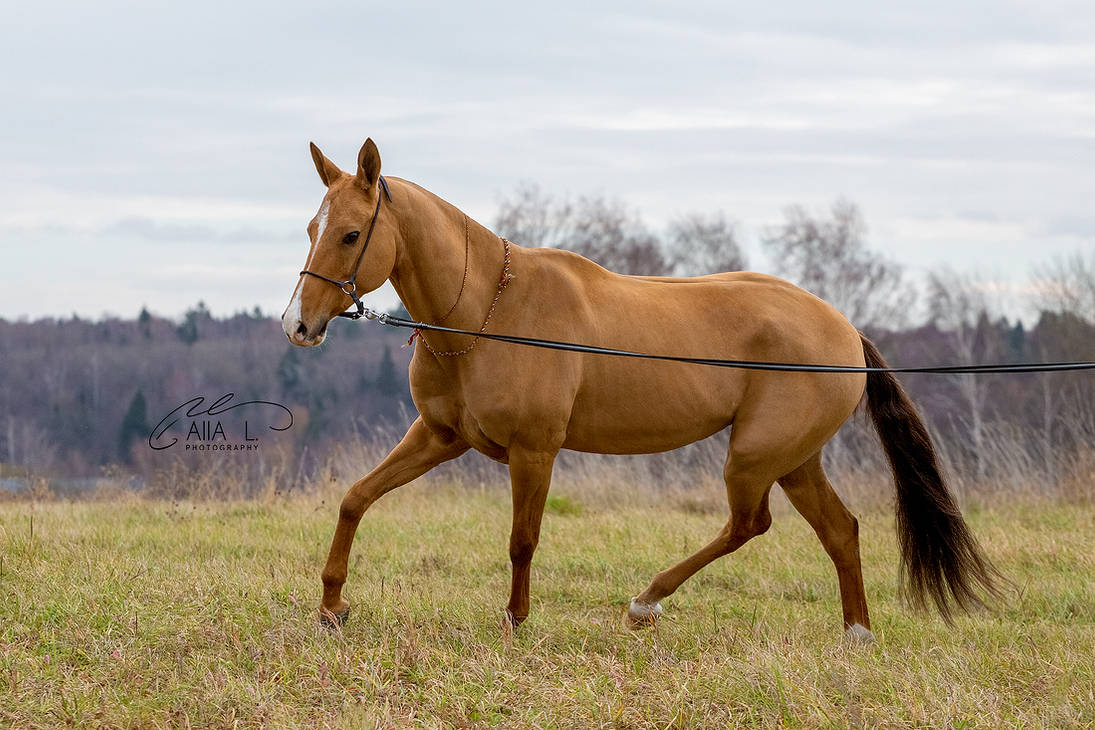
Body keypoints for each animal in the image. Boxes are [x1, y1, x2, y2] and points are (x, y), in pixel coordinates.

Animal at [282, 136, 1003, 639]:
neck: (485, 313)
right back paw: (855, 634)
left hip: (755, 458)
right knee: (839, 531)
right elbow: (355, 499)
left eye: (351, 233)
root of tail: (845, 331)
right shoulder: (439, 436)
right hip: (793, 459)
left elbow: (521, 540)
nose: (298, 325)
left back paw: (644, 603)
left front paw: (514, 622)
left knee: (750, 523)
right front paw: (331, 606)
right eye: (311, 229)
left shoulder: (533, 451)